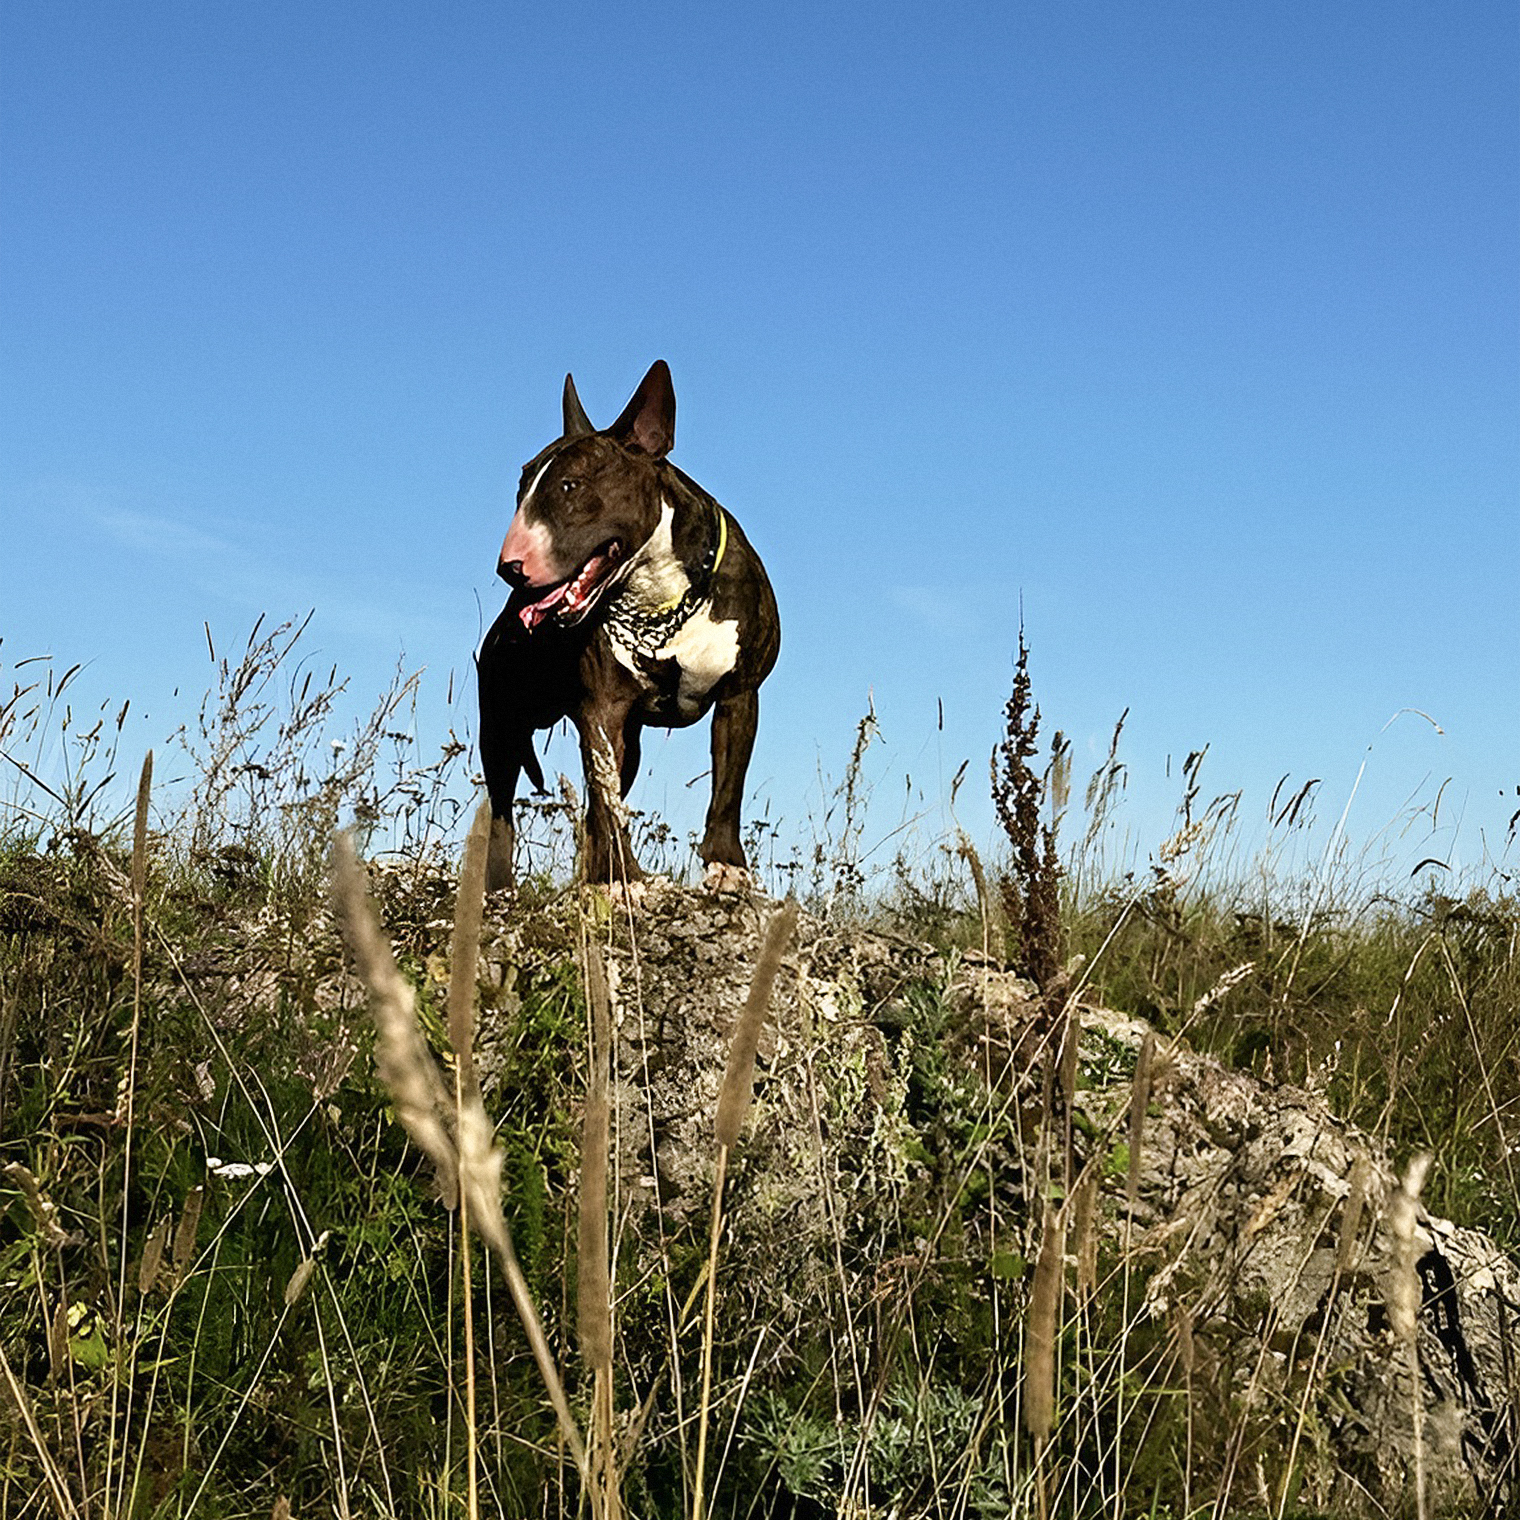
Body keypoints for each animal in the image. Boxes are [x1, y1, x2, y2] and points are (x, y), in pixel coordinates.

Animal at [477, 360, 784, 887]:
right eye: (521, 486)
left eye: (571, 485)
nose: (509, 567)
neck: (661, 596)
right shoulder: (603, 709)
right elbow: (606, 800)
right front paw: (625, 876)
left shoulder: (741, 695)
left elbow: (728, 790)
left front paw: (727, 866)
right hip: (501, 723)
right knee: (502, 809)